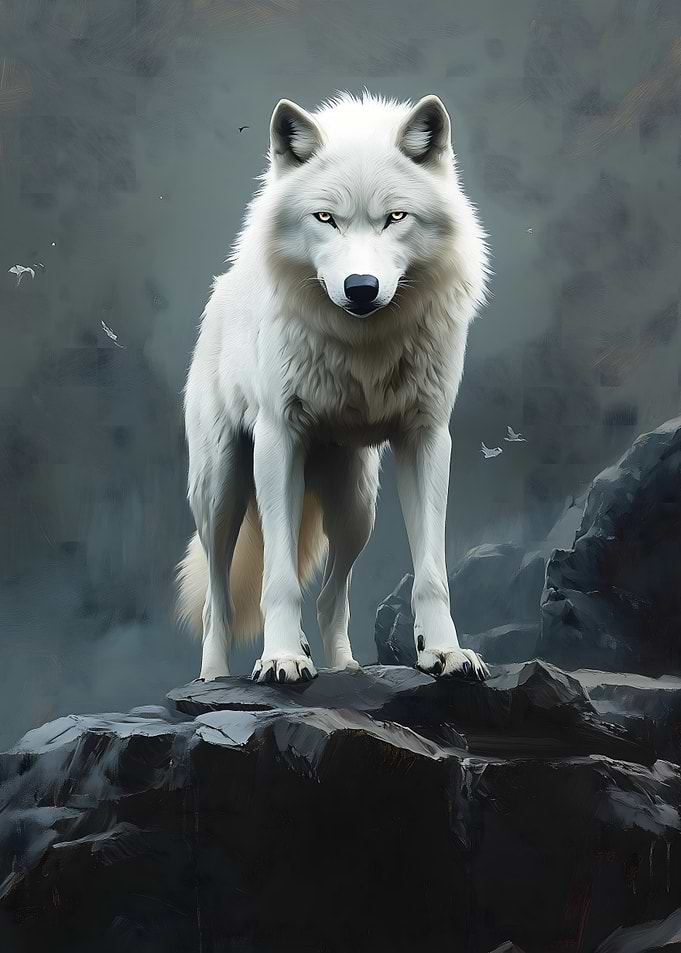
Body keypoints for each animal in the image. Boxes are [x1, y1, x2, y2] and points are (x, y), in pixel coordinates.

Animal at [176, 90, 491, 684]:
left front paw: (445, 652)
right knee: (218, 601)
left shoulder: (427, 438)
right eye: (326, 218)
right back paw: (214, 676)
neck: (362, 345)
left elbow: (431, 574)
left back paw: (345, 668)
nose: (361, 287)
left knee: (330, 599)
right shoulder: (279, 441)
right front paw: (280, 658)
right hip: (221, 493)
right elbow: (277, 579)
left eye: (395, 218)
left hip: (356, 510)